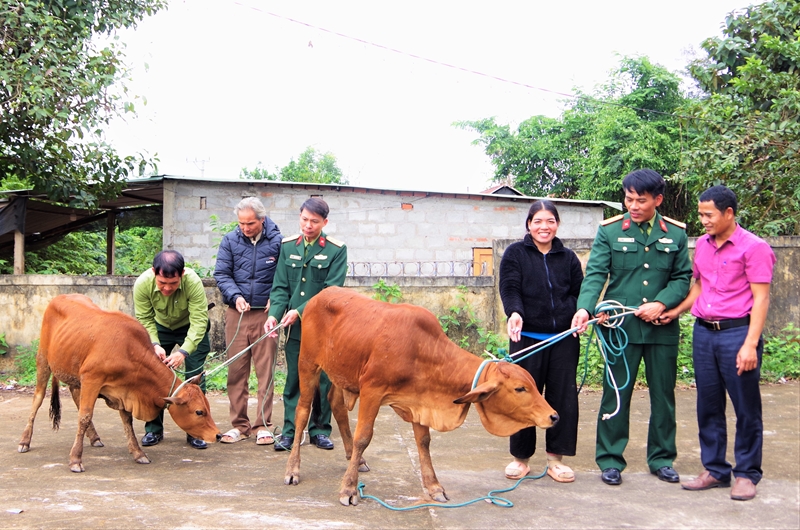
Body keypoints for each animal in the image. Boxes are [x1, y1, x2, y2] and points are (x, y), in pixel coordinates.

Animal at [17, 292, 220, 470]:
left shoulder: (124, 390)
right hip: (43, 360)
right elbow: (84, 417)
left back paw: (94, 437)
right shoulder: (92, 379)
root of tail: (59, 297)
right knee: (38, 398)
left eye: (209, 407)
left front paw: (138, 454)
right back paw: (25, 441)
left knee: (74, 396)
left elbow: (127, 422)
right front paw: (75, 459)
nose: (218, 435)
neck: (128, 351)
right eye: (199, 412)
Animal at [284, 284, 560, 504]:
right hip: (307, 363)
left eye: (532, 383)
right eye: (520, 388)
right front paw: (349, 489)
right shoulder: (372, 390)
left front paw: (434, 486)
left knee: (337, 405)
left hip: (342, 374)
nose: (554, 416)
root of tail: (320, 295)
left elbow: (424, 442)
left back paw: (356, 459)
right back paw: (293, 470)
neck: (422, 348)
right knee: (302, 411)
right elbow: (364, 437)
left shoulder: (419, 400)